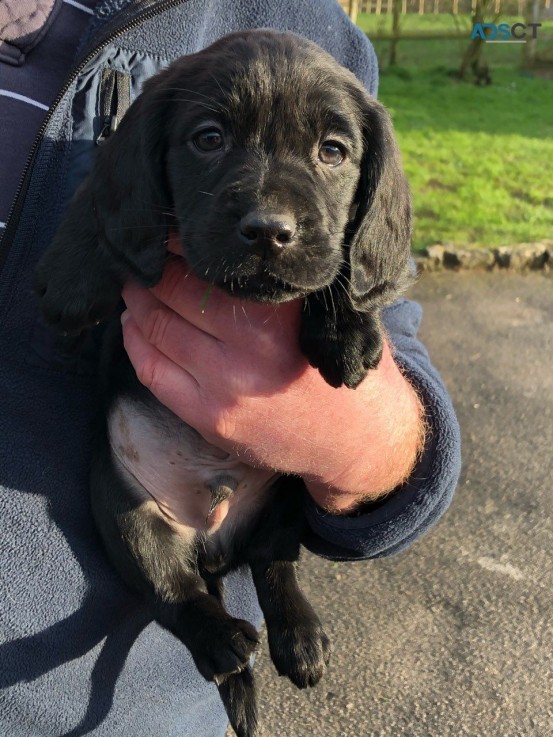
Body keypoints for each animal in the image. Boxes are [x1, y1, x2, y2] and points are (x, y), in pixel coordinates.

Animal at [31, 30, 410, 736]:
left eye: (333, 151)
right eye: (208, 139)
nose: (268, 231)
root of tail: (209, 545)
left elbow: (343, 258)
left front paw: (349, 326)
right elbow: (105, 202)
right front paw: (72, 275)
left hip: (289, 492)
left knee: (274, 563)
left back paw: (299, 637)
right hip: (126, 514)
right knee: (174, 593)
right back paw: (226, 643)